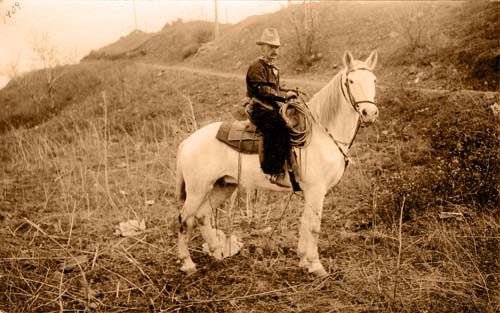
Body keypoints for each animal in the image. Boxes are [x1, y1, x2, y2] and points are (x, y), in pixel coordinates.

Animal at [174, 50, 376, 276]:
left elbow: (305, 222)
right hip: (197, 190)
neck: (321, 134)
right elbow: (313, 225)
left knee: (202, 215)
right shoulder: (316, 190)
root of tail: (188, 141)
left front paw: (304, 261)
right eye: (351, 81)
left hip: (223, 185)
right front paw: (316, 266)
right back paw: (188, 264)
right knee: (184, 219)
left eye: (374, 80)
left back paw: (217, 254)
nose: (370, 113)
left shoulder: (311, 192)